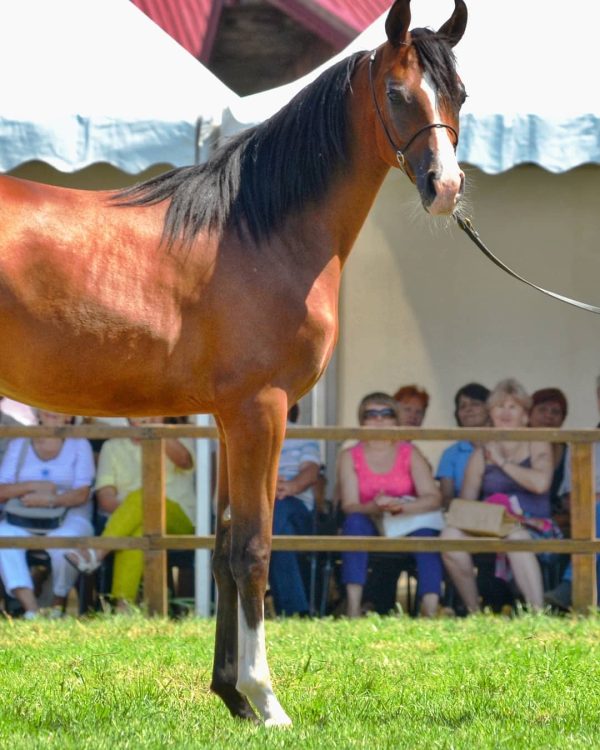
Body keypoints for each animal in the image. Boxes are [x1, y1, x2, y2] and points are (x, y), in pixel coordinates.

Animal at [0, 0, 468, 728]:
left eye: (460, 94)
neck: (258, 230)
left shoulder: (226, 419)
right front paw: (266, 699)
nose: (445, 187)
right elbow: (254, 550)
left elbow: (222, 551)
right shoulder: (261, 411)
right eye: (397, 93)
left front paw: (232, 696)